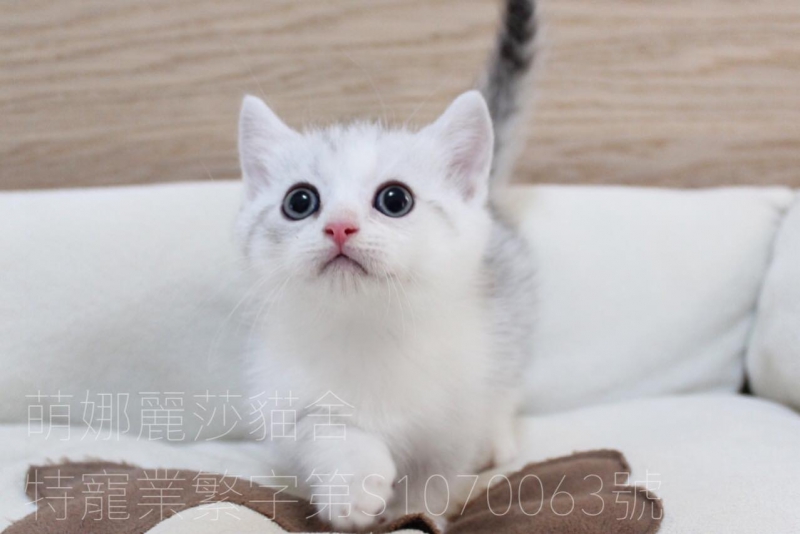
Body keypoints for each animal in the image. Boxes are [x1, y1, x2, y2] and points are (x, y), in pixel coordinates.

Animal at [235, 0, 537, 529]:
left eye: (395, 199)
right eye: (299, 201)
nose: (340, 227)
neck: (371, 330)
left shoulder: (455, 418)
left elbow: (434, 477)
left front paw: (415, 512)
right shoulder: (287, 396)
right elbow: (322, 429)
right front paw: (352, 489)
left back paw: (497, 438)